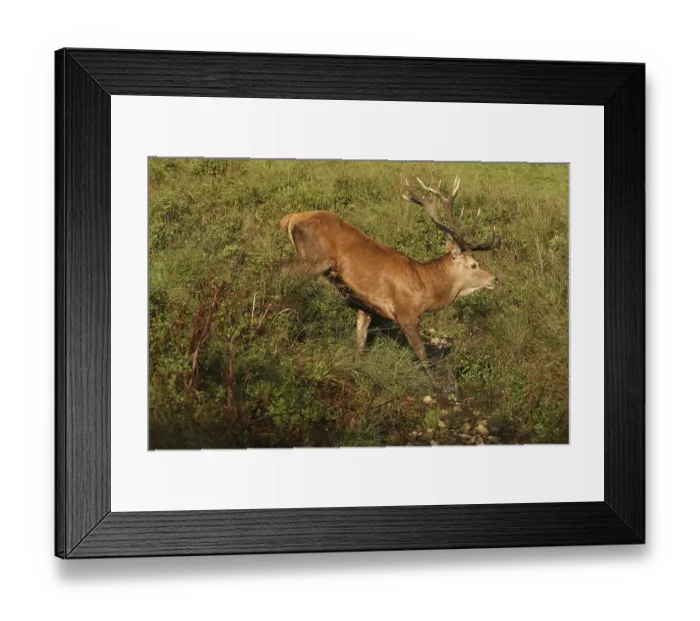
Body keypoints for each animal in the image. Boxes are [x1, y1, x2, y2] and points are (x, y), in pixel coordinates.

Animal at [278, 176, 500, 387]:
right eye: (474, 264)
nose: (495, 279)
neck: (425, 289)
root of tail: (291, 218)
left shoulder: (366, 307)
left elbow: (360, 342)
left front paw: (356, 369)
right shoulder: (406, 312)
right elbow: (422, 353)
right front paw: (437, 386)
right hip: (315, 257)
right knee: (281, 269)